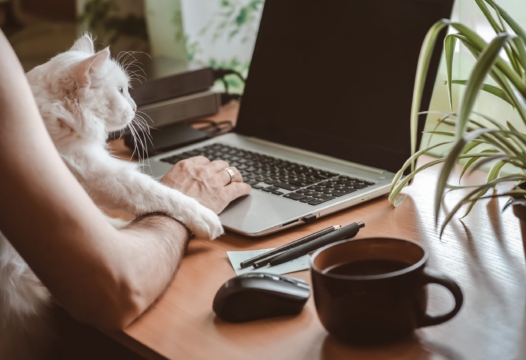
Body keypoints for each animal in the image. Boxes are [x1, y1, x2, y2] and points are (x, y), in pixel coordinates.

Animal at [0, 33, 225, 358]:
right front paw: (205, 217)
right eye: (120, 91)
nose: (135, 106)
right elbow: (157, 193)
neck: (55, 119)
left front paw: (121, 227)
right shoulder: (98, 173)